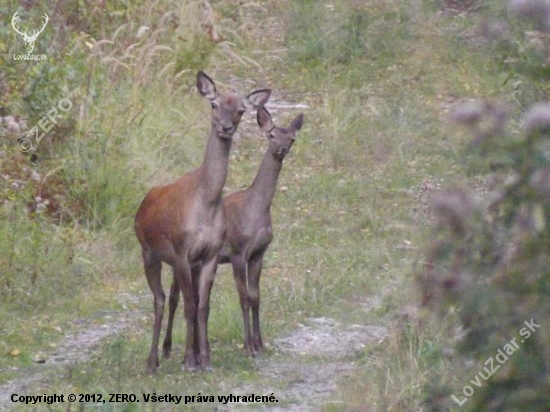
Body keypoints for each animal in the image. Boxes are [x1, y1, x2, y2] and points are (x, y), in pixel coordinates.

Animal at [134, 71, 272, 374]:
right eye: (214, 104)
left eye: (240, 110)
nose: (225, 127)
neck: (206, 205)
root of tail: (143, 204)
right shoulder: (182, 251)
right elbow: (189, 305)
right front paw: (189, 360)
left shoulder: (208, 255)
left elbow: (203, 306)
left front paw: (205, 358)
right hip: (149, 252)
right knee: (160, 300)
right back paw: (152, 361)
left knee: (170, 298)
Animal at [164, 107, 306, 358]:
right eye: (271, 135)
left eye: (292, 138)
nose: (282, 149)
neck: (256, 212)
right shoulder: (239, 251)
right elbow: (244, 297)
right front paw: (248, 346)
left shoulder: (259, 252)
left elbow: (256, 296)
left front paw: (260, 344)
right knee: (174, 296)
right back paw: (168, 349)